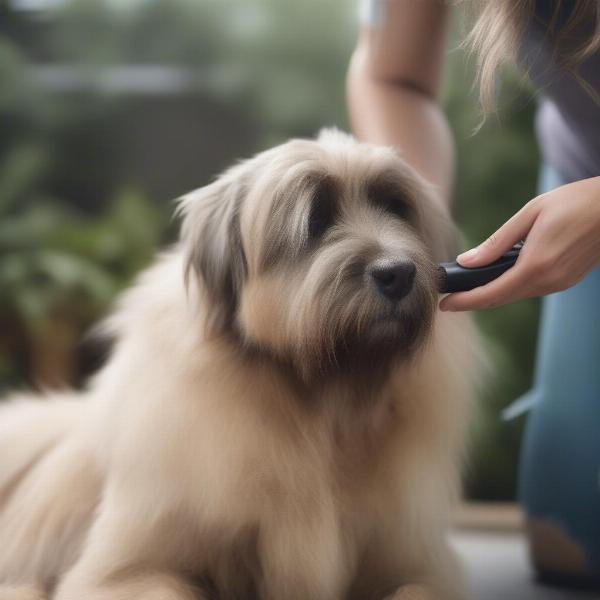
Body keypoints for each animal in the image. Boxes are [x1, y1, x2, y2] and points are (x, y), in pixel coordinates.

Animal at [0, 131, 480, 600]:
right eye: (316, 221)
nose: (397, 272)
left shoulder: (418, 565)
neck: (324, 406)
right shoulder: (126, 571)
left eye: (396, 209)